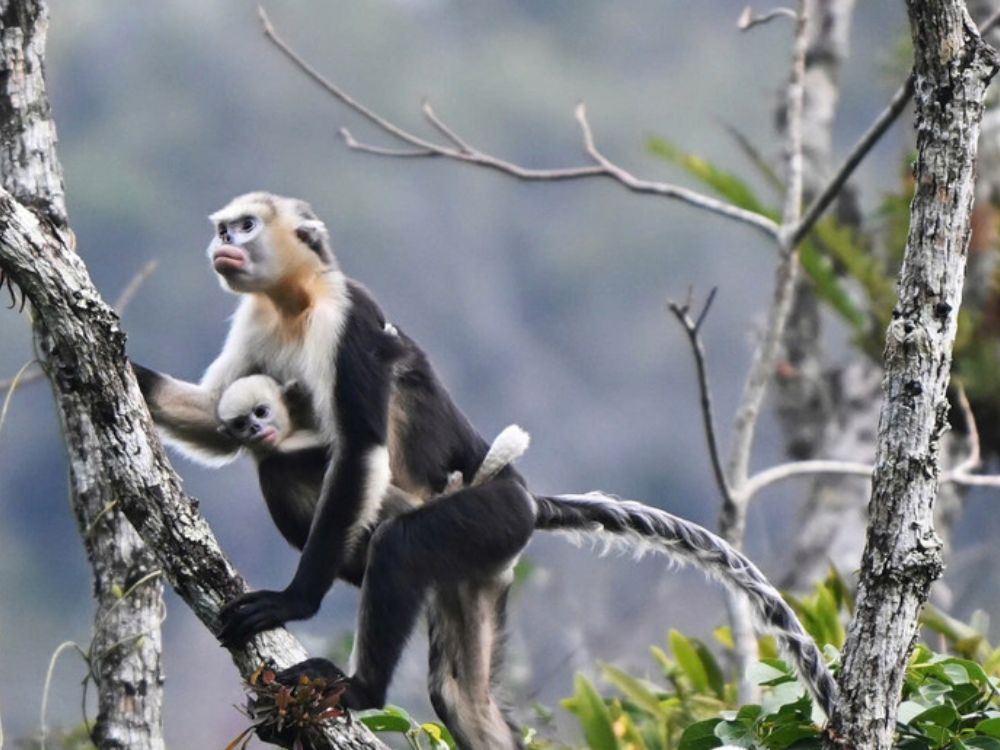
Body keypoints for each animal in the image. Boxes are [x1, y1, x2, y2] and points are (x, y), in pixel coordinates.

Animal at [132, 192, 836, 749]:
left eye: (245, 226)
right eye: (226, 228)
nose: (222, 244)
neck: (294, 302)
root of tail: (526, 497)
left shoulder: (347, 316)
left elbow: (358, 447)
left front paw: (294, 601)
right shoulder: (255, 319)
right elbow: (215, 418)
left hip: (488, 516)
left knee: (389, 538)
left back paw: (359, 688)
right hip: (479, 568)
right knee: (460, 697)